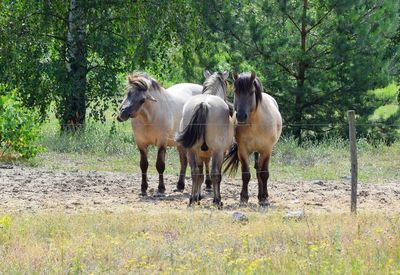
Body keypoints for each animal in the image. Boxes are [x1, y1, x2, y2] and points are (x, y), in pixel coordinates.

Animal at [176, 70, 234, 206]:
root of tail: (204, 103)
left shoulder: (200, 152)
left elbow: (200, 174)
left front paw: (197, 195)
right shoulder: (221, 152)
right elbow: (215, 174)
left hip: (191, 150)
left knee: (195, 172)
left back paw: (192, 199)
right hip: (217, 151)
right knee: (215, 174)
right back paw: (217, 200)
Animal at [223, 71, 282, 207]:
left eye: (251, 92)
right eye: (236, 91)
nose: (240, 116)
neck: (255, 123)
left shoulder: (266, 150)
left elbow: (264, 174)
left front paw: (264, 200)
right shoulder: (243, 151)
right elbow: (246, 174)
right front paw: (243, 198)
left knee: (260, 170)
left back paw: (263, 196)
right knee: (257, 169)